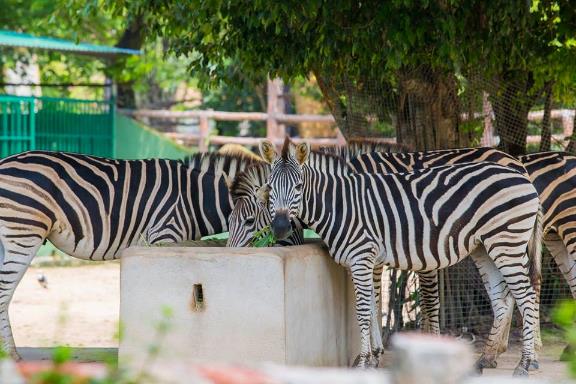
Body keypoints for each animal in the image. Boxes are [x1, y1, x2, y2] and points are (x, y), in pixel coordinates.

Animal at [0, 149, 256, 356]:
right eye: (248, 221)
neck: (195, 198)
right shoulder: (164, 235)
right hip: (23, 232)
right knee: (4, 292)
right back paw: (11, 356)